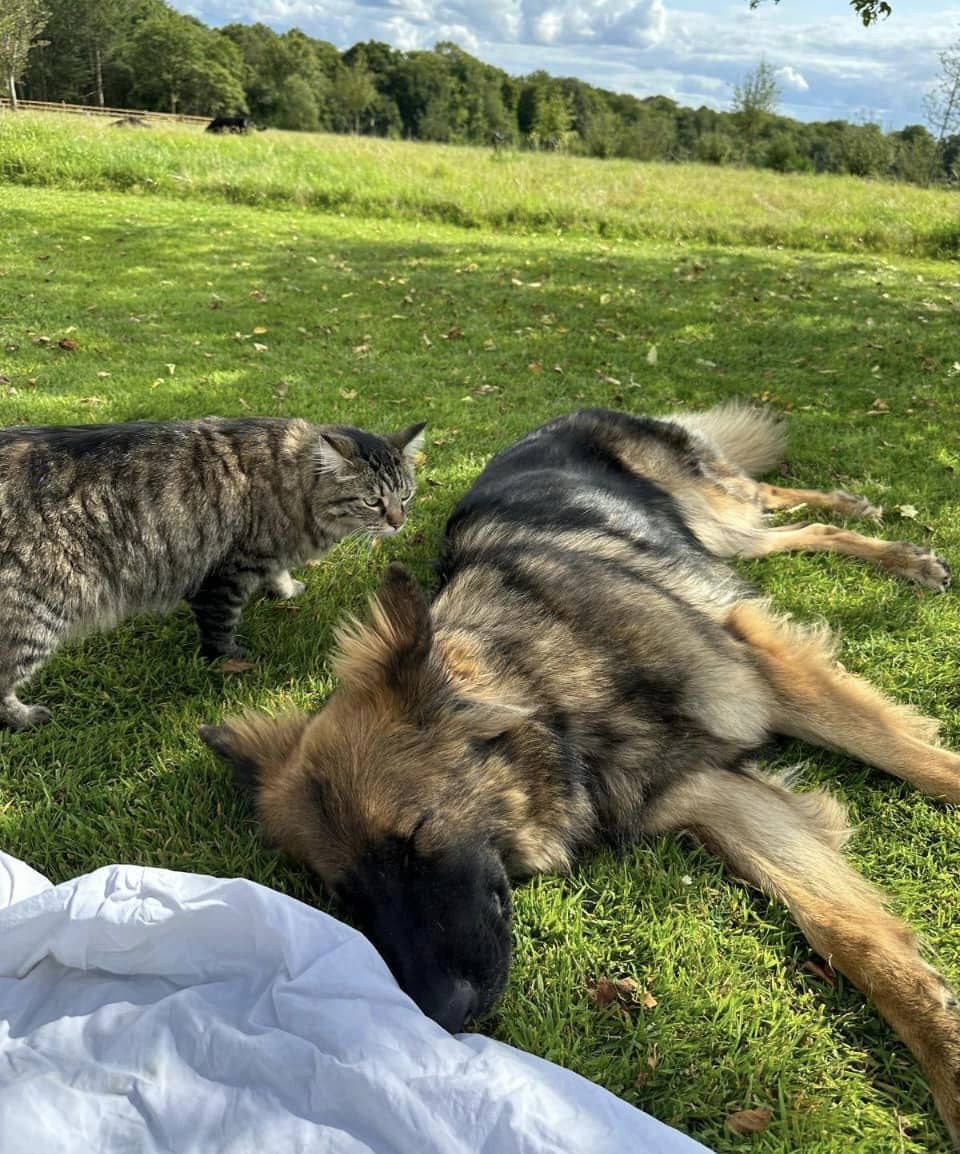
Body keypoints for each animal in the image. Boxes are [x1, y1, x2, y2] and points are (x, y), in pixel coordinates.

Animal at [0, 415, 424, 724]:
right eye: (372, 501)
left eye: (405, 496)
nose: (399, 523)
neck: (292, 483)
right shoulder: (228, 572)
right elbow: (221, 625)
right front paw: (232, 660)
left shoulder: (266, 555)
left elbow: (279, 573)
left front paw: (286, 588)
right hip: (36, 614)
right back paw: (26, 717)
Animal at [200, 406, 960, 1144]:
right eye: (348, 896)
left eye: (416, 838)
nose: (441, 1015)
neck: (553, 691)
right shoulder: (710, 794)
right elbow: (844, 929)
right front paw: (944, 1046)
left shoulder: (763, 668)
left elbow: (918, 762)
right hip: (725, 541)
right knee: (787, 532)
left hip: (718, 516)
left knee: (773, 501)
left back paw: (886, 536)